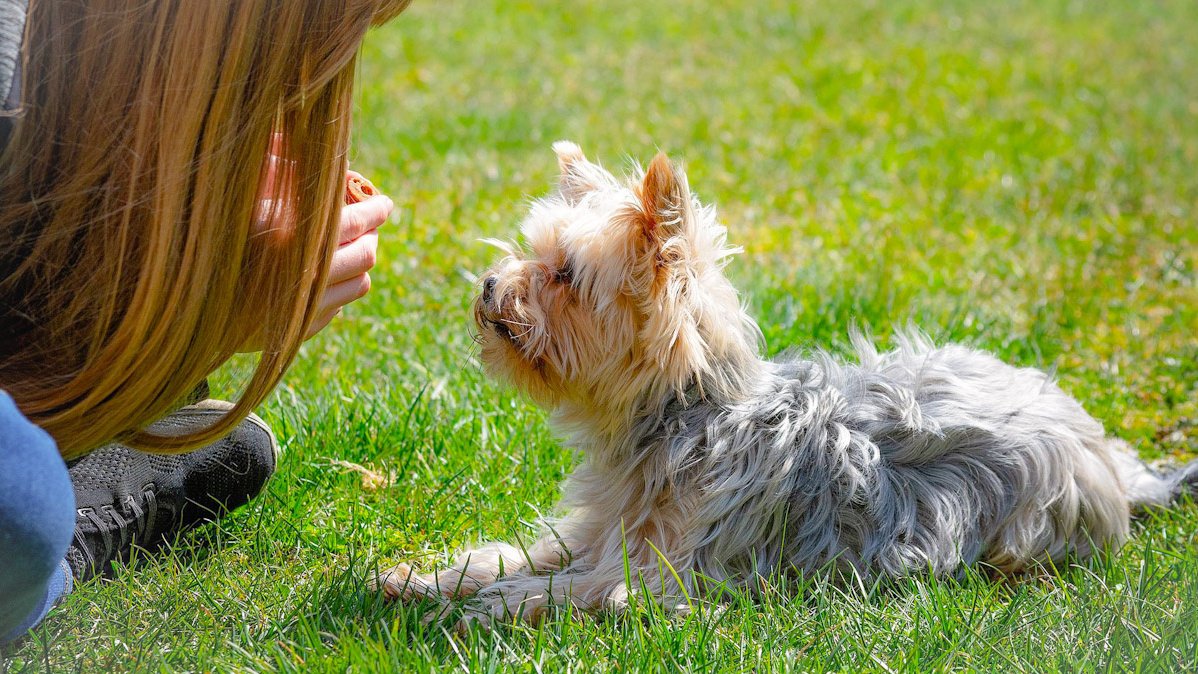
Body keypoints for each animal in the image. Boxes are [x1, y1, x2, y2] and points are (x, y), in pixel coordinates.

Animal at [376, 141, 1198, 627]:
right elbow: (529, 553)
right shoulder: (599, 529)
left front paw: (487, 605)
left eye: (565, 276)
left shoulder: (673, 577)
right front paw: (428, 578)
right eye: (531, 253)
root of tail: (1110, 460)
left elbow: (580, 589)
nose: (489, 286)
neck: (685, 417)